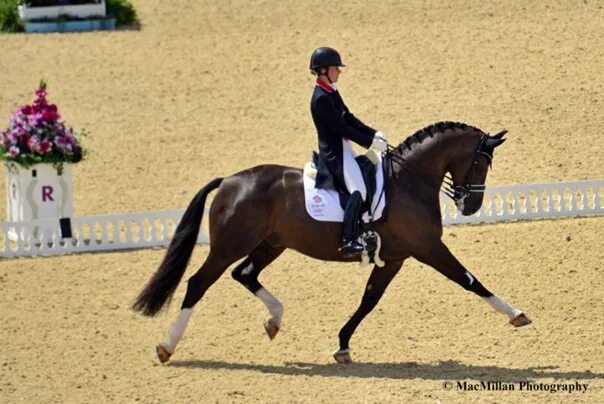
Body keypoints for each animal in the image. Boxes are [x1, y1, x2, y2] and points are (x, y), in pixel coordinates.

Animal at [134, 120, 532, 362]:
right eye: (480, 164)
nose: (470, 206)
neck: (408, 180)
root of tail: (230, 181)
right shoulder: (428, 248)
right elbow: (469, 280)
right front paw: (516, 314)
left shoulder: (396, 257)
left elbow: (369, 300)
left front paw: (342, 344)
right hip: (229, 246)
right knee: (198, 283)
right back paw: (166, 346)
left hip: (271, 244)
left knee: (244, 274)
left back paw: (274, 320)